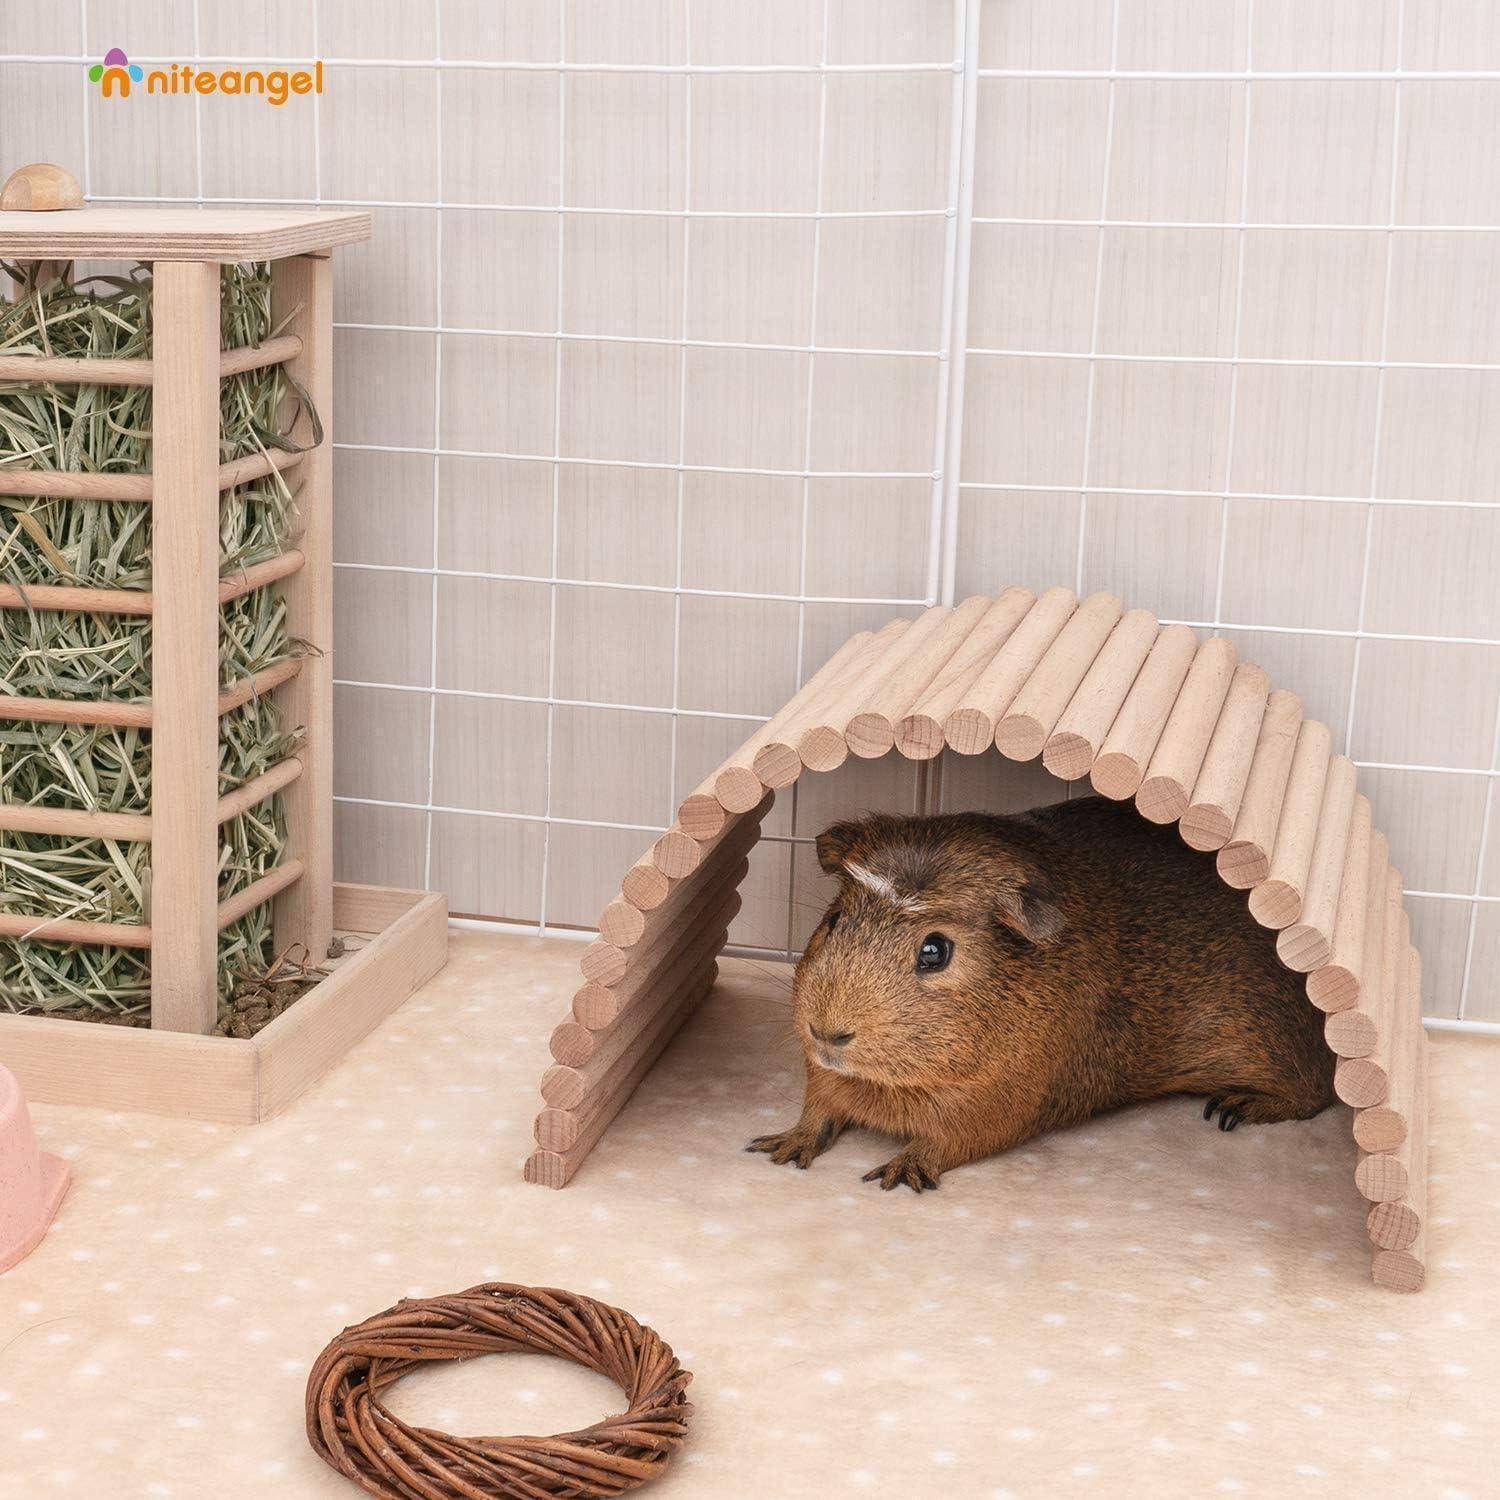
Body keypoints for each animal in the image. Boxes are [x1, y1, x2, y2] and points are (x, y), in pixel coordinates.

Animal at [748, 796, 1335, 1191]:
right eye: (833, 919)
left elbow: (944, 1143)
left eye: (935, 950)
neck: (888, 1087)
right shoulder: (824, 1080)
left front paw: (898, 1174)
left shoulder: (999, 1105)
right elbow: (816, 1114)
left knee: (1310, 1097)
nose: (826, 1032)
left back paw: (1231, 1109)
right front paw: (776, 1148)